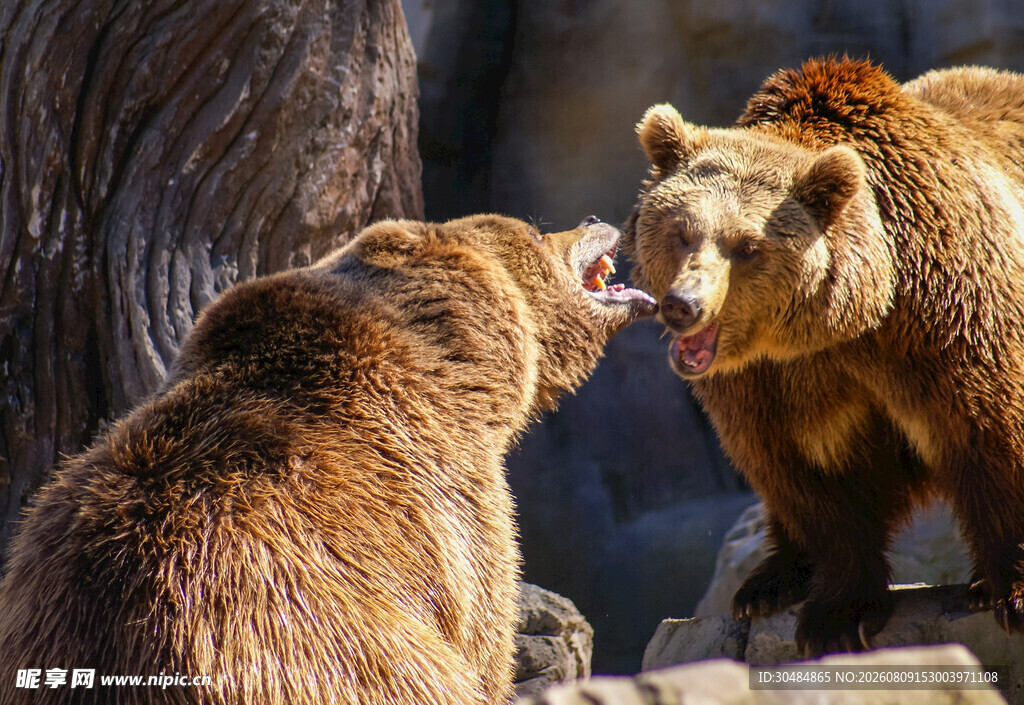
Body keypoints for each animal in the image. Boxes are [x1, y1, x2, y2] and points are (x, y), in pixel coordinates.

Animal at [625, 57, 1024, 657]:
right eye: (682, 232)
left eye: (747, 246)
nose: (682, 304)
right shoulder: (768, 383)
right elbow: (813, 482)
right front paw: (837, 614)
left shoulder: (944, 321)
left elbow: (988, 433)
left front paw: (1011, 593)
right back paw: (766, 582)